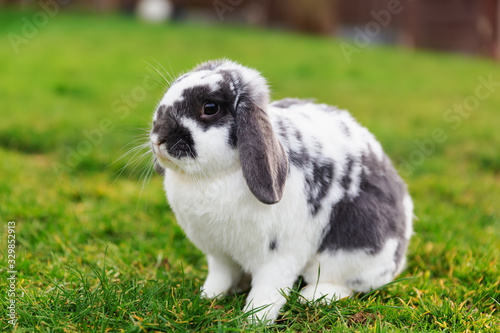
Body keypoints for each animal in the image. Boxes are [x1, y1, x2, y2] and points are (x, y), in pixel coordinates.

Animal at [149, 59, 414, 322]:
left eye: (210, 107)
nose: (158, 137)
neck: (213, 177)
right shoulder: (219, 256)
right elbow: (220, 277)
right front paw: (207, 298)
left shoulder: (280, 257)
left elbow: (268, 289)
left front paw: (253, 320)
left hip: (352, 251)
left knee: (350, 284)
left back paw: (313, 296)